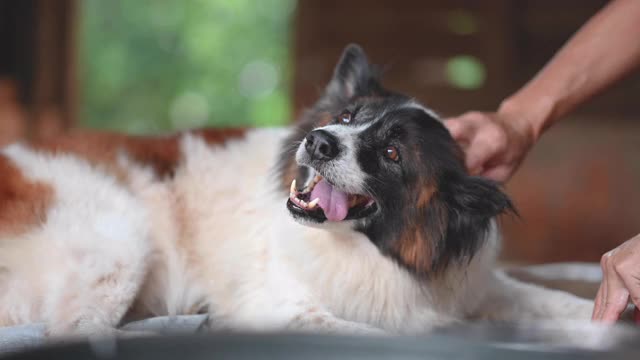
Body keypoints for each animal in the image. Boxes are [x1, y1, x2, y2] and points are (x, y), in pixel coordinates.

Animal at [0, 45, 596, 338]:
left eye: (392, 153)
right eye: (347, 116)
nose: (319, 140)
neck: (363, 251)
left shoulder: (469, 287)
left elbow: (560, 302)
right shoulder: (284, 306)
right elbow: (378, 338)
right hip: (120, 247)